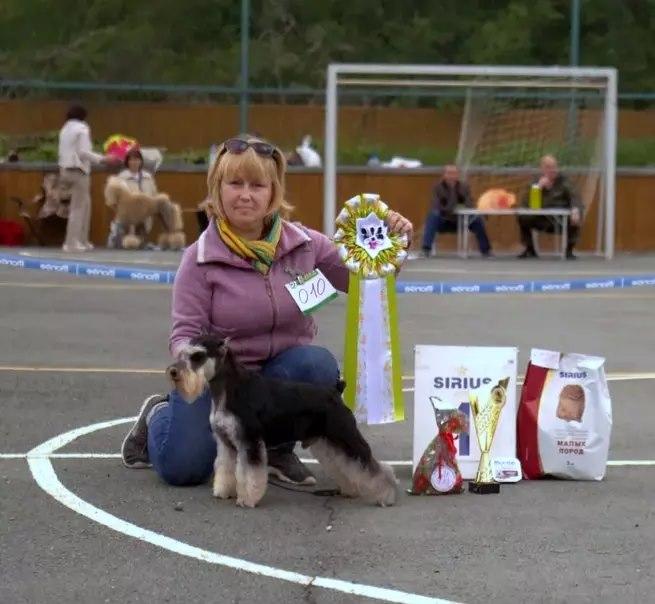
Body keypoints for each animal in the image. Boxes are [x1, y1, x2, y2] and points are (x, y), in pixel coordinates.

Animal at [167, 335, 398, 508]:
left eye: (198, 355)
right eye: (183, 353)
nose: (174, 372)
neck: (227, 389)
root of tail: (335, 392)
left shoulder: (249, 442)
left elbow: (249, 474)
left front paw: (246, 499)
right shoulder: (226, 444)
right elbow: (225, 468)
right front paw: (223, 491)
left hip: (346, 437)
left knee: (374, 467)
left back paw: (386, 495)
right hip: (329, 443)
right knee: (345, 466)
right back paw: (350, 490)